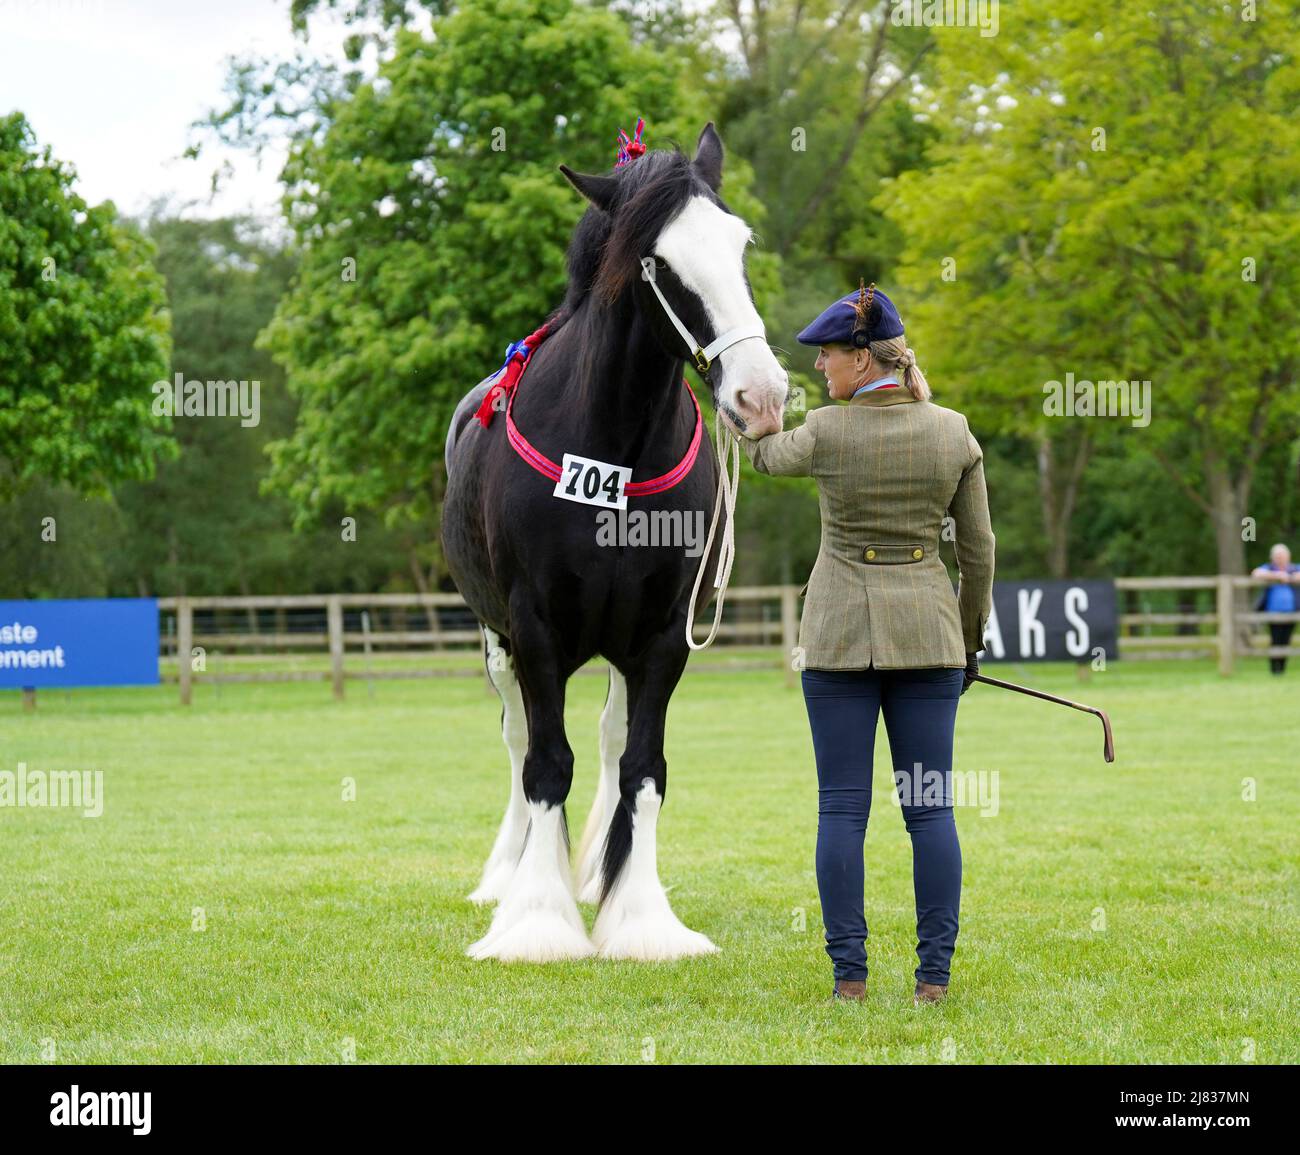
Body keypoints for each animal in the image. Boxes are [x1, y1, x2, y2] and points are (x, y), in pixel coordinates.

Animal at [440, 122, 788, 962]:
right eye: (656, 262)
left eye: (739, 243)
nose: (761, 395)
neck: (613, 455)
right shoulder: (533, 630)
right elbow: (544, 764)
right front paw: (535, 920)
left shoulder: (662, 636)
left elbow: (640, 764)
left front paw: (639, 917)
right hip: (498, 642)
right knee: (516, 743)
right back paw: (505, 879)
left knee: (605, 740)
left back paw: (598, 872)